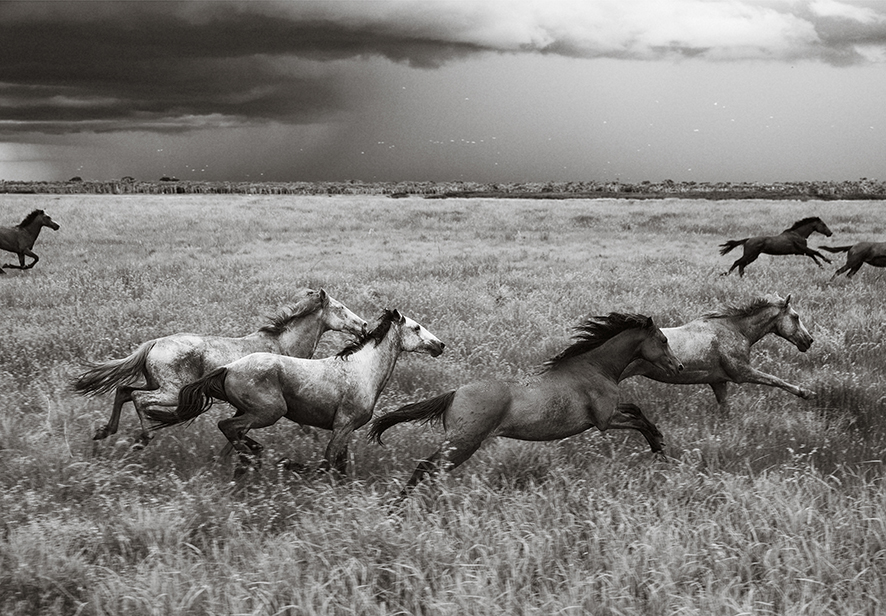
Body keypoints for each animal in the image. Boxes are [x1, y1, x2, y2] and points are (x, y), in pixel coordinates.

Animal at [74, 288, 367, 449]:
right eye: (340, 308)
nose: (364, 325)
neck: (282, 346)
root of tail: (153, 343)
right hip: (170, 391)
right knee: (138, 398)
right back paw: (143, 438)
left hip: (154, 383)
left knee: (124, 391)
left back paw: (104, 432)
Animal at [145, 309, 444, 476]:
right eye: (416, 327)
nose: (440, 345)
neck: (362, 370)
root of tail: (228, 367)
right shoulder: (342, 426)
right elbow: (328, 461)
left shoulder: (347, 430)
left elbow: (340, 464)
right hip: (269, 412)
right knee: (226, 426)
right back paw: (252, 457)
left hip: (250, 411)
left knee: (232, 433)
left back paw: (249, 457)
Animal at [368, 313, 682, 495]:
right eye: (663, 339)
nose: (678, 366)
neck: (595, 367)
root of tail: (455, 393)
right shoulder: (605, 420)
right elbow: (638, 420)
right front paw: (659, 446)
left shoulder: (612, 412)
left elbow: (637, 410)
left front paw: (660, 445)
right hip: (463, 443)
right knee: (426, 467)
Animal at [621, 294, 813, 403]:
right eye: (796, 317)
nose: (809, 340)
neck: (736, 330)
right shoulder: (742, 373)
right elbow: (775, 380)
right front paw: (806, 392)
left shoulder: (718, 382)